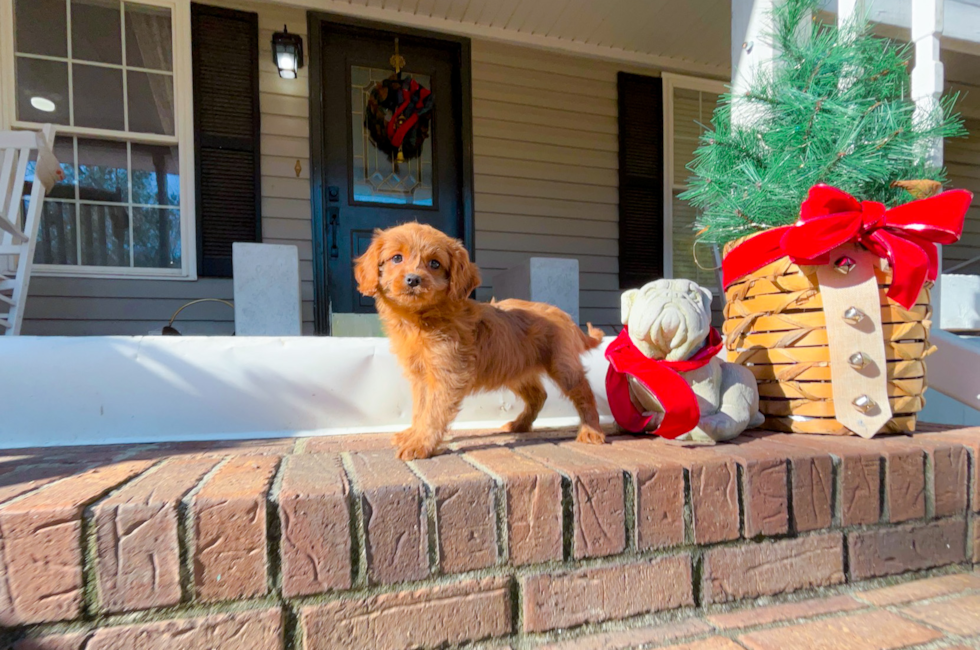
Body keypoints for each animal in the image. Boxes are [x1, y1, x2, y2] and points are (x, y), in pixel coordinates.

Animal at [352, 223, 604, 460]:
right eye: (397, 258)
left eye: (434, 264)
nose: (413, 279)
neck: (420, 319)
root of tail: (565, 316)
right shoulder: (421, 377)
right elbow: (420, 409)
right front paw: (413, 434)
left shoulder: (447, 375)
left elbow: (433, 412)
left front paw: (420, 443)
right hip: (514, 369)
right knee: (539, 395)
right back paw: (519, 424)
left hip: (563, 367)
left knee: (585, 393)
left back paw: (591, 431)